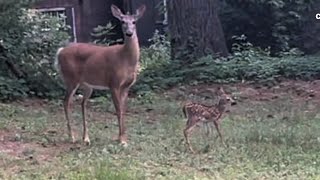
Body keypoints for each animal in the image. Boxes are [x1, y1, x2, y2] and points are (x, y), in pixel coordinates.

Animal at [54, 4, 146, 146]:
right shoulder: (113, 83)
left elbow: (123, 110)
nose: (129, 33)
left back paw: (86, 138)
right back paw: (72, 137)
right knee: (66, 102)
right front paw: (121, 140)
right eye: (122, 21)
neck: (125, 59)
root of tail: (60, 51)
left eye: (134, 22)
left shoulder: (126, 86)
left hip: (87, 85)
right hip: (70, 78)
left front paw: (124, 138)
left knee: (82, 103)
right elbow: (118, 110)